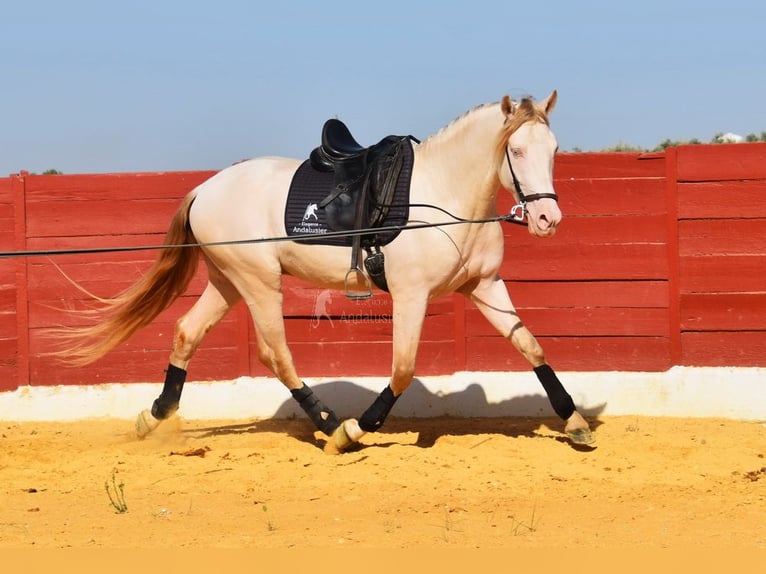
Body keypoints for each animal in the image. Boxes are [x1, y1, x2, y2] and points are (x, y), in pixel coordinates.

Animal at [58, 90, 594, 452]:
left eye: (554, 148)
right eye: (516, 151)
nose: (547, 219)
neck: (444, 198)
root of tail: (207, 188)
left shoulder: (483, 287)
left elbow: (531, 346)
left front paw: (574, 422)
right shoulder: (412, 296)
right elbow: (402, 370)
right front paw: (357, 428)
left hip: (227, 281)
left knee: (187, 332)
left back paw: (153, 416)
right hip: (258, 282)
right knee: (276, 355)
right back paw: (331, 424)